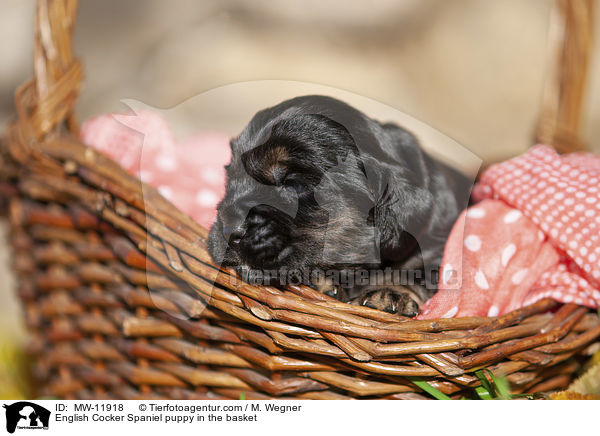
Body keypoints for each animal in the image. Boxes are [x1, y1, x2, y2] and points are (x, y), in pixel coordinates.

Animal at [209, 95, 472, 316]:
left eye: (294, 185)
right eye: (229, 178)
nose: (228, 228)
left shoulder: (434, 243)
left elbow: (412, 268)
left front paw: (390, 293)